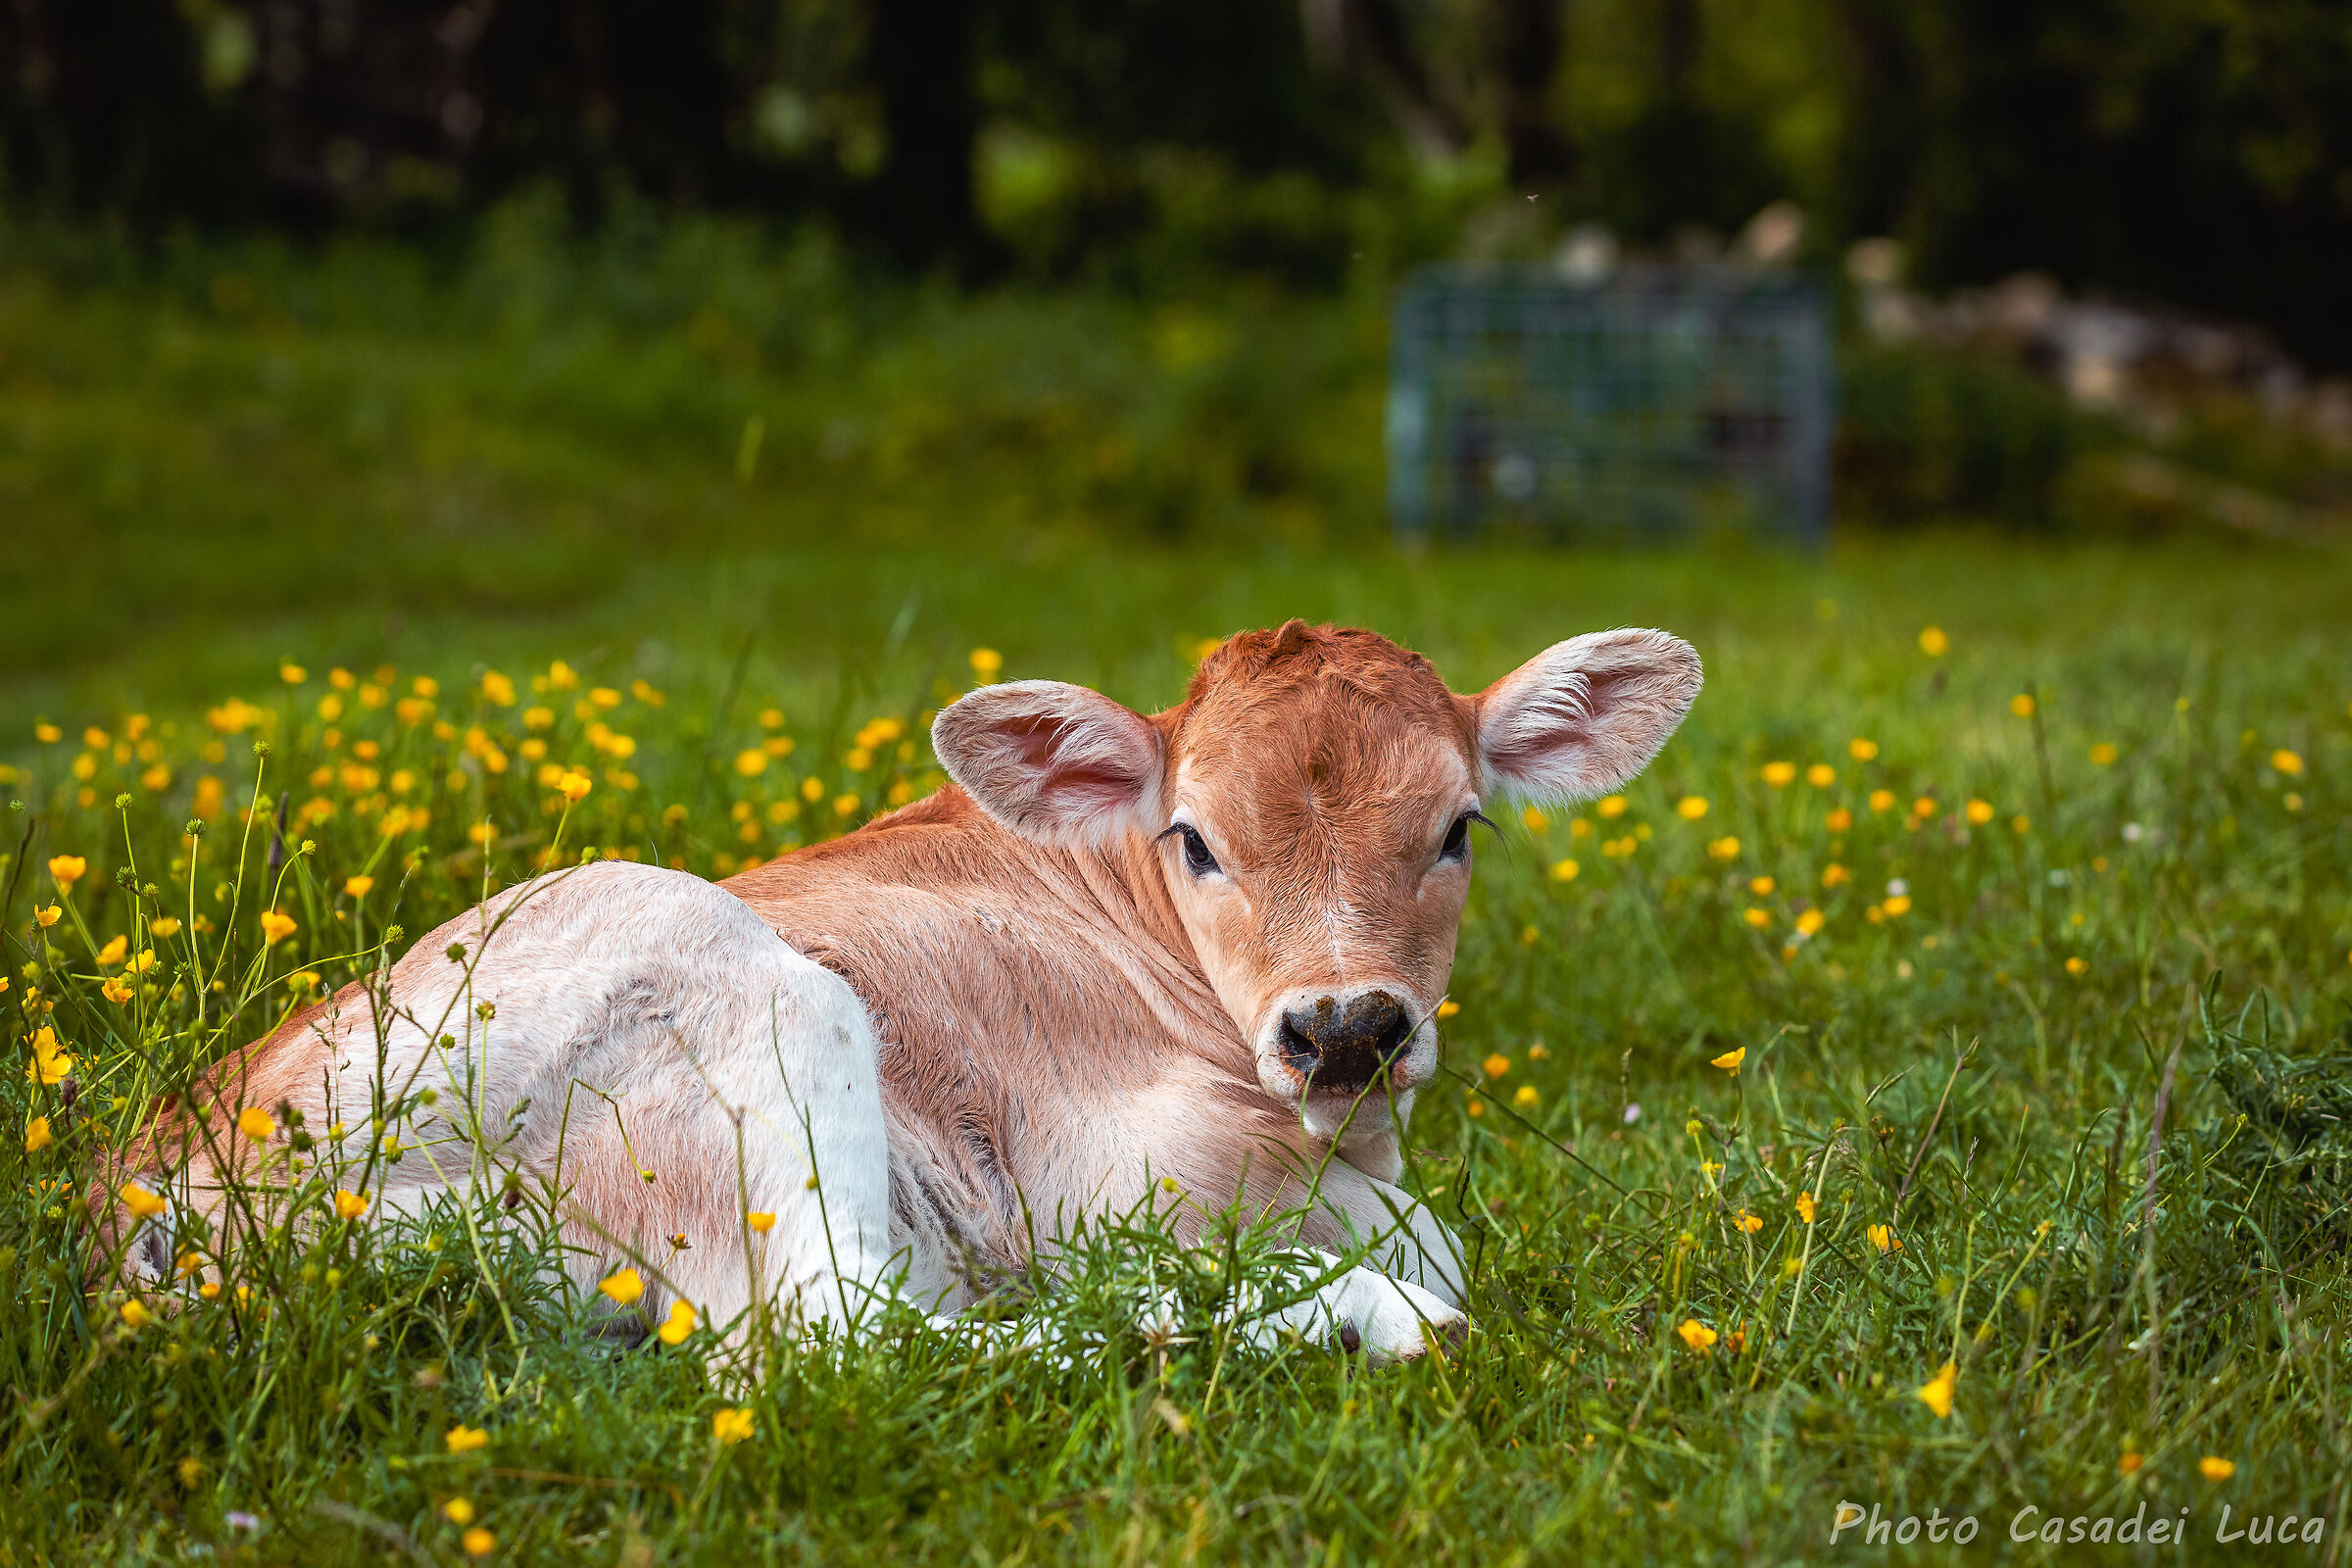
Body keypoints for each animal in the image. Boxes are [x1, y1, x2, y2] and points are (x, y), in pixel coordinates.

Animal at [114, 621, 1700, 1361]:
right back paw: (1328, 1318)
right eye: (1195, 839)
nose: (1346, 1029)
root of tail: (152, 1191)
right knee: (837, 1342)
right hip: (741, 998)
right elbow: (1435, 1241)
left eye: (1459, 828)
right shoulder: (1124, 1170)